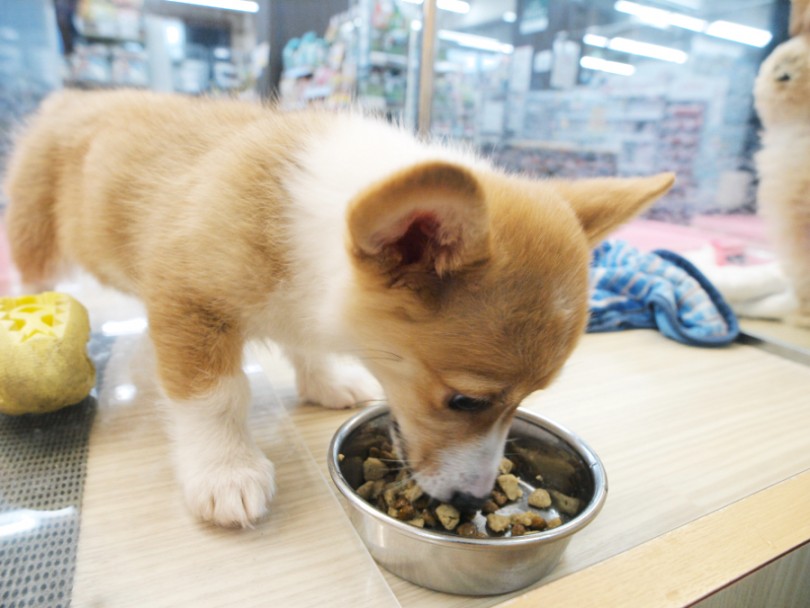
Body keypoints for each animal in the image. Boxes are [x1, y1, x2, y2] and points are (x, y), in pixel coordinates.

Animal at [6, 90, 672, 528]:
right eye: (465, 401)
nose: (472, 501)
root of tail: (71, 93)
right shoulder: (190, 303)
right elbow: (216, 397)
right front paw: (225, 473)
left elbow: (306, 345)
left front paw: (325, 382)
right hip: (37, 238)